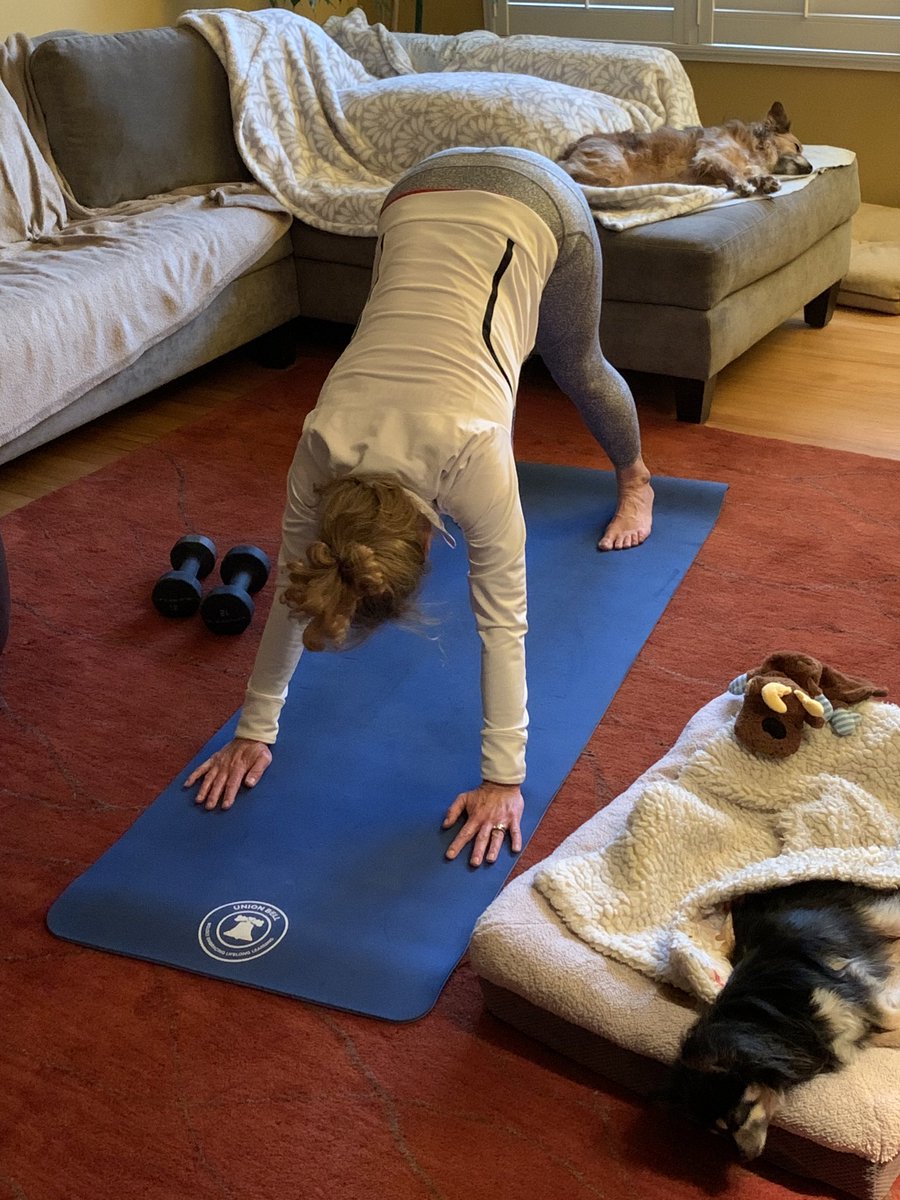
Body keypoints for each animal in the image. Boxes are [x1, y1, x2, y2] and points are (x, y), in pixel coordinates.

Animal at [561, 101, 816, 196]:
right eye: (797, 147)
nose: (811, 168)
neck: (754, 146)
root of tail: (572, 147)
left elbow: (748, 172)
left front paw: (764, 181)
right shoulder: (711, 155)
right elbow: (733, 171)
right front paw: (744, 185)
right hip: (614, 170)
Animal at [667, 878, 900, 1156]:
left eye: (737, 1119)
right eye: (719, 1132)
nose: (746, 1157)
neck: (774, 1020)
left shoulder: (848, 980)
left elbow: (885, 1017)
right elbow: (877, 1034)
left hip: (876, 915)